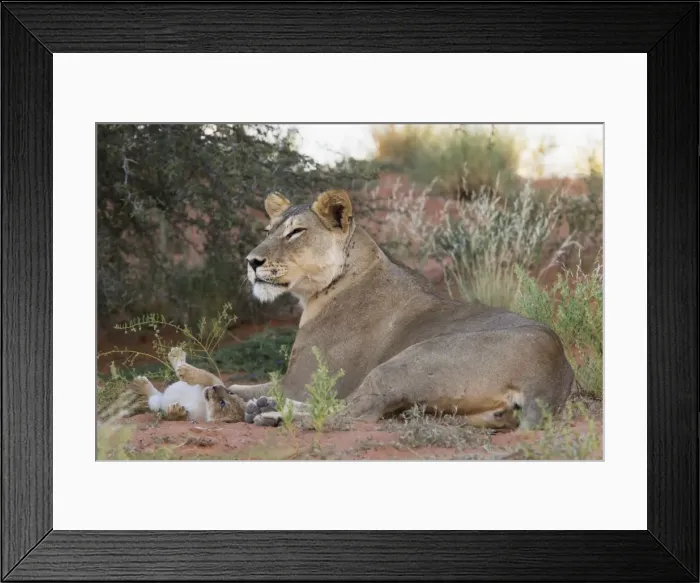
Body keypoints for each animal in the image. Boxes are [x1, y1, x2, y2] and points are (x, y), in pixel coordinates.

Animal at [174, 189, 575, 430]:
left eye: (296, 233)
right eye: (269, 230)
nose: (252, 261)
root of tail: (552, 373)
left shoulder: (301, 381)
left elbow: (235, 382)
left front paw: (207, 386)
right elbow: (230, 380)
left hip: (407, 362)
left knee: (350, 413)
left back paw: (266, 411)